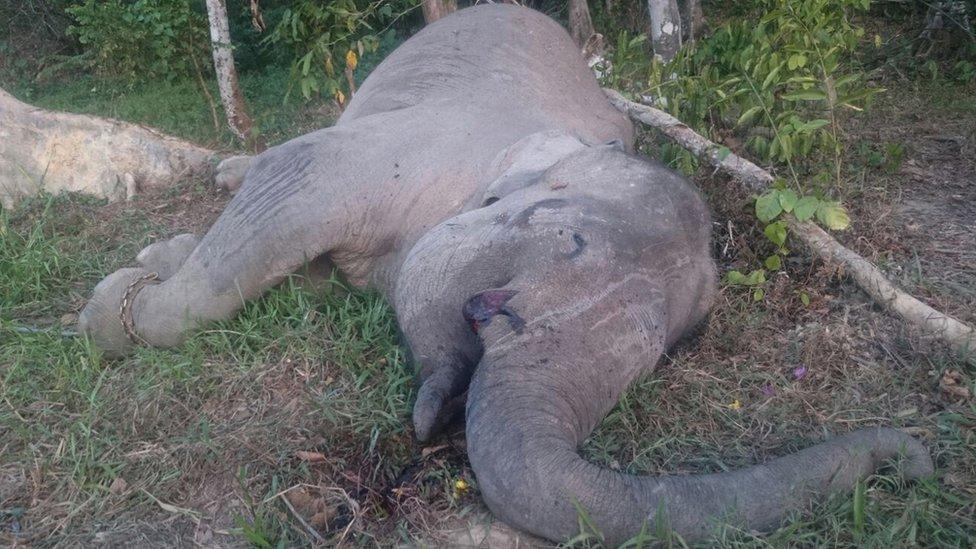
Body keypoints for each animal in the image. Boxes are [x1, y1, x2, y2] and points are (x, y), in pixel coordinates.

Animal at [80, 4, 936, 544]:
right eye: (571, 243)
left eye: (663, 352)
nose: (917, 458)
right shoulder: (404, 153)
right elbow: (297, 183)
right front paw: (110, 308)